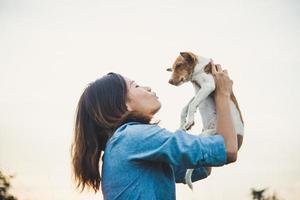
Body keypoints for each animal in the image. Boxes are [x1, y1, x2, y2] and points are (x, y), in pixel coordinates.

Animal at [166, 51, 244, 189]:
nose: (169, 81)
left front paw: (189, 120)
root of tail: (239, 142)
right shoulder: (200, 91)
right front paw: (183, 124)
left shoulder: (208, 86)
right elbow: (186, 107)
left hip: (208, 135)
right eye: (173, 67)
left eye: (179, 65)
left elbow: (192, 105)